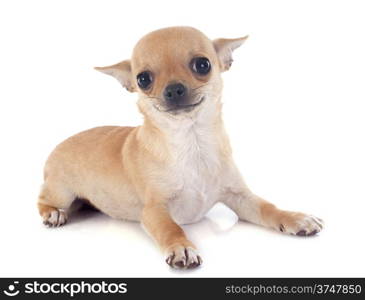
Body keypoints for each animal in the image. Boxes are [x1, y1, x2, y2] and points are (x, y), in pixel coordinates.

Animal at [36, 26, 322, 270]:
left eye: (202, 64)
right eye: (143, 79)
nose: (173, 89)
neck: (192, 143)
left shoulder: (240, 197)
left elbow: (268, 208)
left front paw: (294, 217)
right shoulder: (154, 211)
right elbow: (170, 228)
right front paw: (181, 248)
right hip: (61, 192)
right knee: (43, 200)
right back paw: (53, 214)